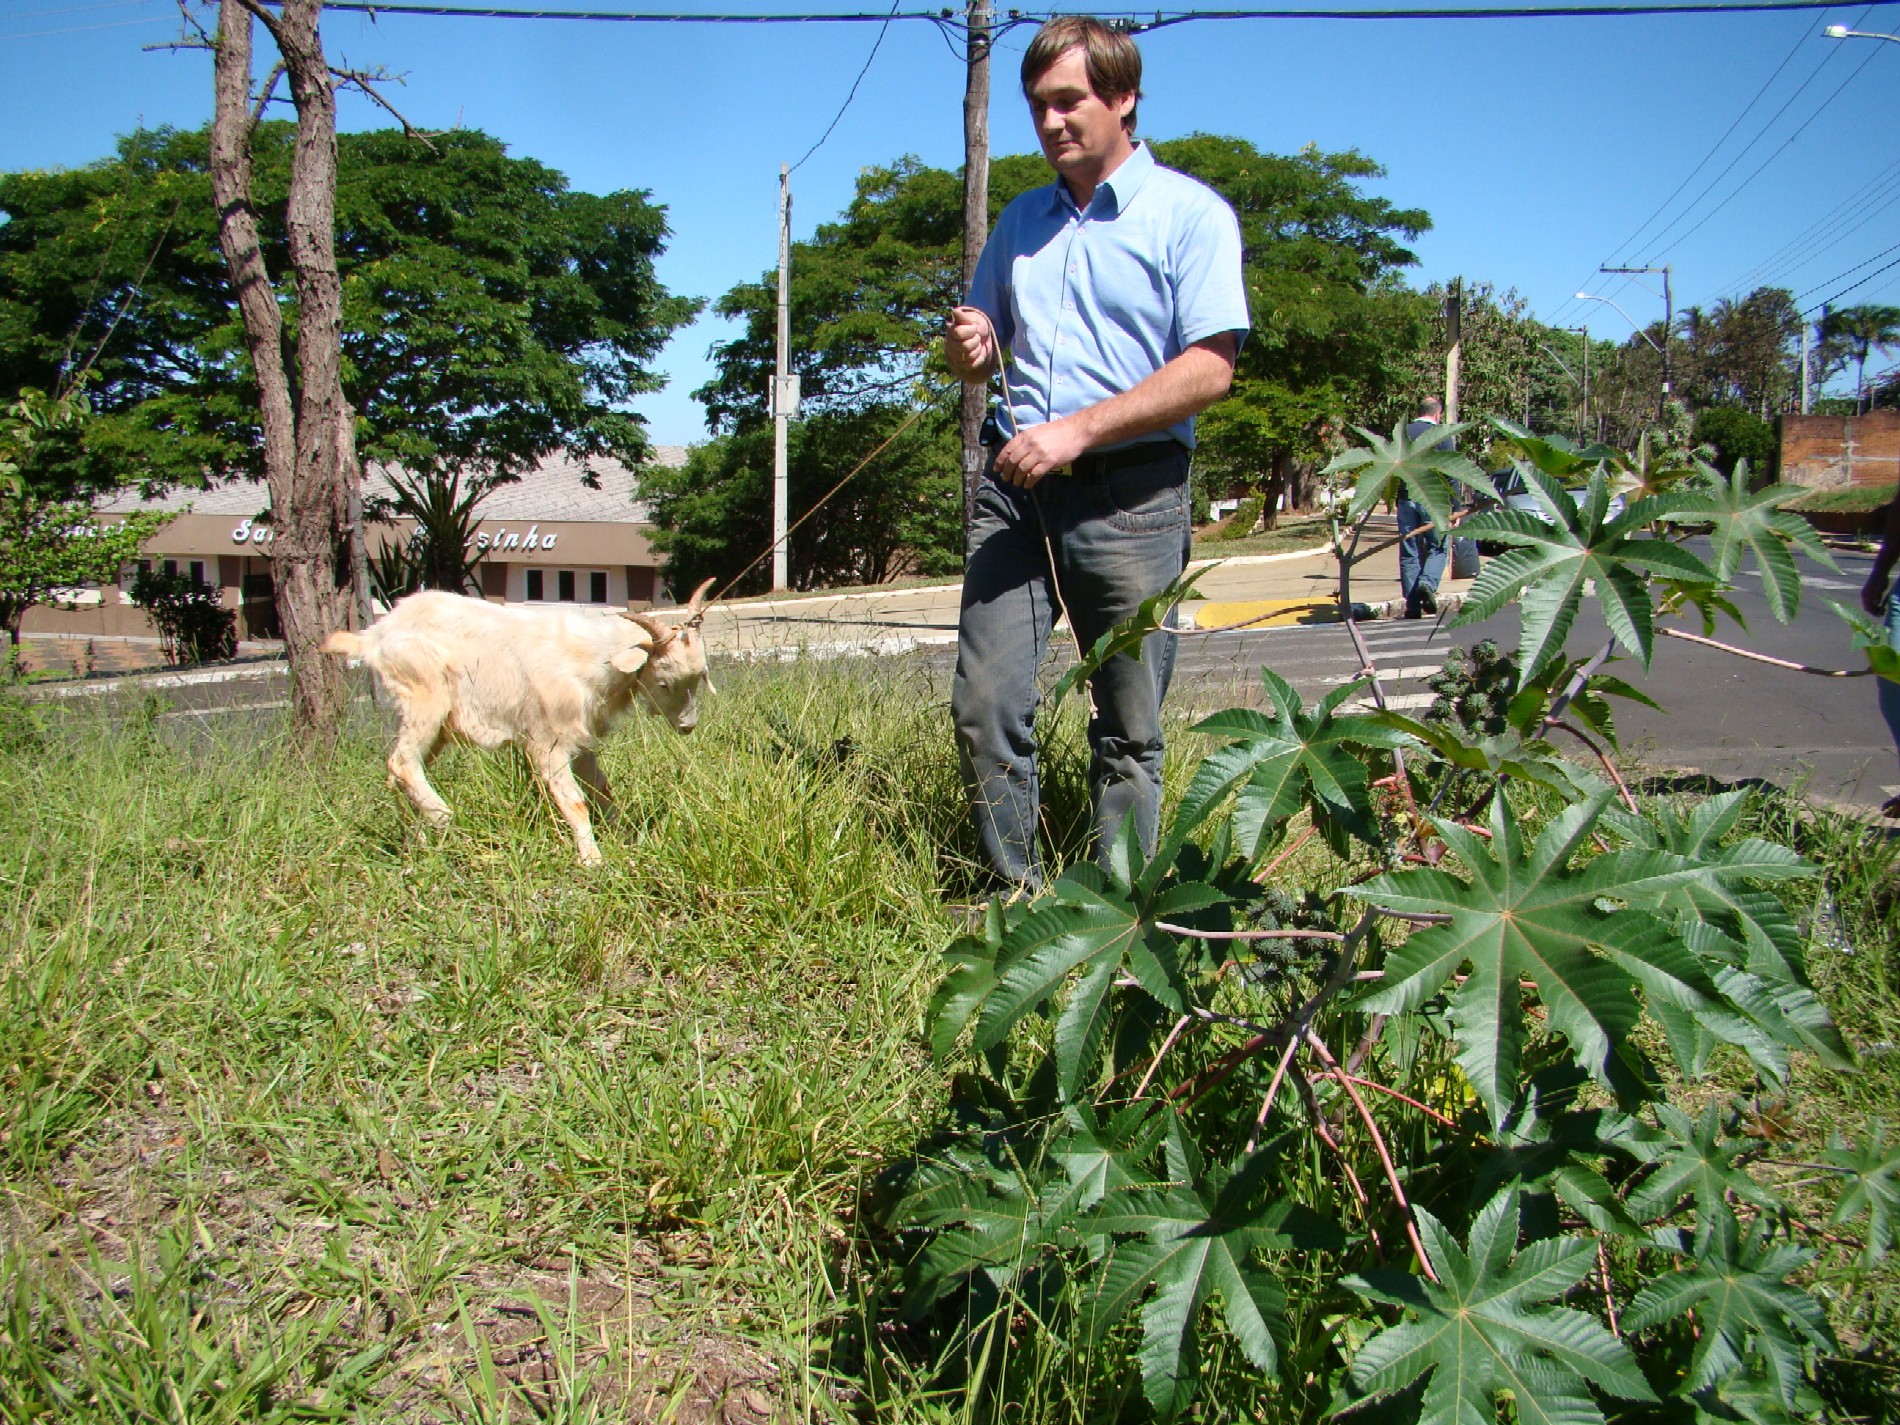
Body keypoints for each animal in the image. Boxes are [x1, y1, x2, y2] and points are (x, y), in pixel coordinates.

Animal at [323, 577, 714, 866]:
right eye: (663, 682)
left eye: (698, 678)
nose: (687, 726)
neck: (590, 660)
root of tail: (374, 637)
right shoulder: (547, 743)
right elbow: (574, 802)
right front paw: (592, 861)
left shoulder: (580, 740)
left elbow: (602, 790)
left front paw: (627, 836)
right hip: (422, 697)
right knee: (402, 763)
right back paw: (446, 820)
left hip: (437, 726)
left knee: (400, 773)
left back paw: (416, 841)